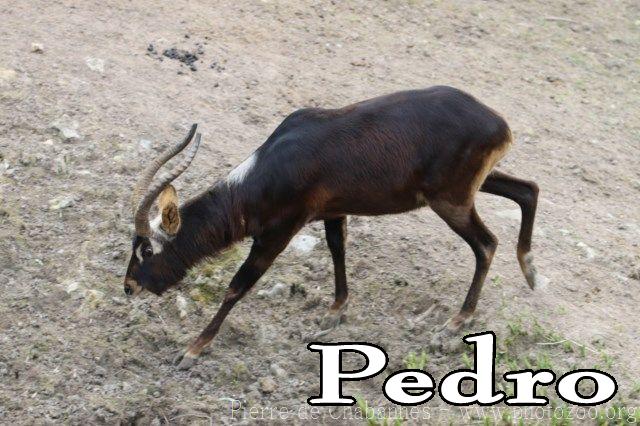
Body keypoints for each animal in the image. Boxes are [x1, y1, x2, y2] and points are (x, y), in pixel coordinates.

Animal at [124, 86, 540, 370]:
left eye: (147, 248)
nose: (129, 287)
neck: (274, 167)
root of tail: (499, 124)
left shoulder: (278, 233)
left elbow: (237, 287)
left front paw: (192, 349)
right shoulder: (333, 211)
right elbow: (337, 249)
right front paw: (335, 311)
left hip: (450, 202)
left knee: (487, 243)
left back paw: (458, 321)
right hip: (469, 189)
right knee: (528, 190)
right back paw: (530, 270)